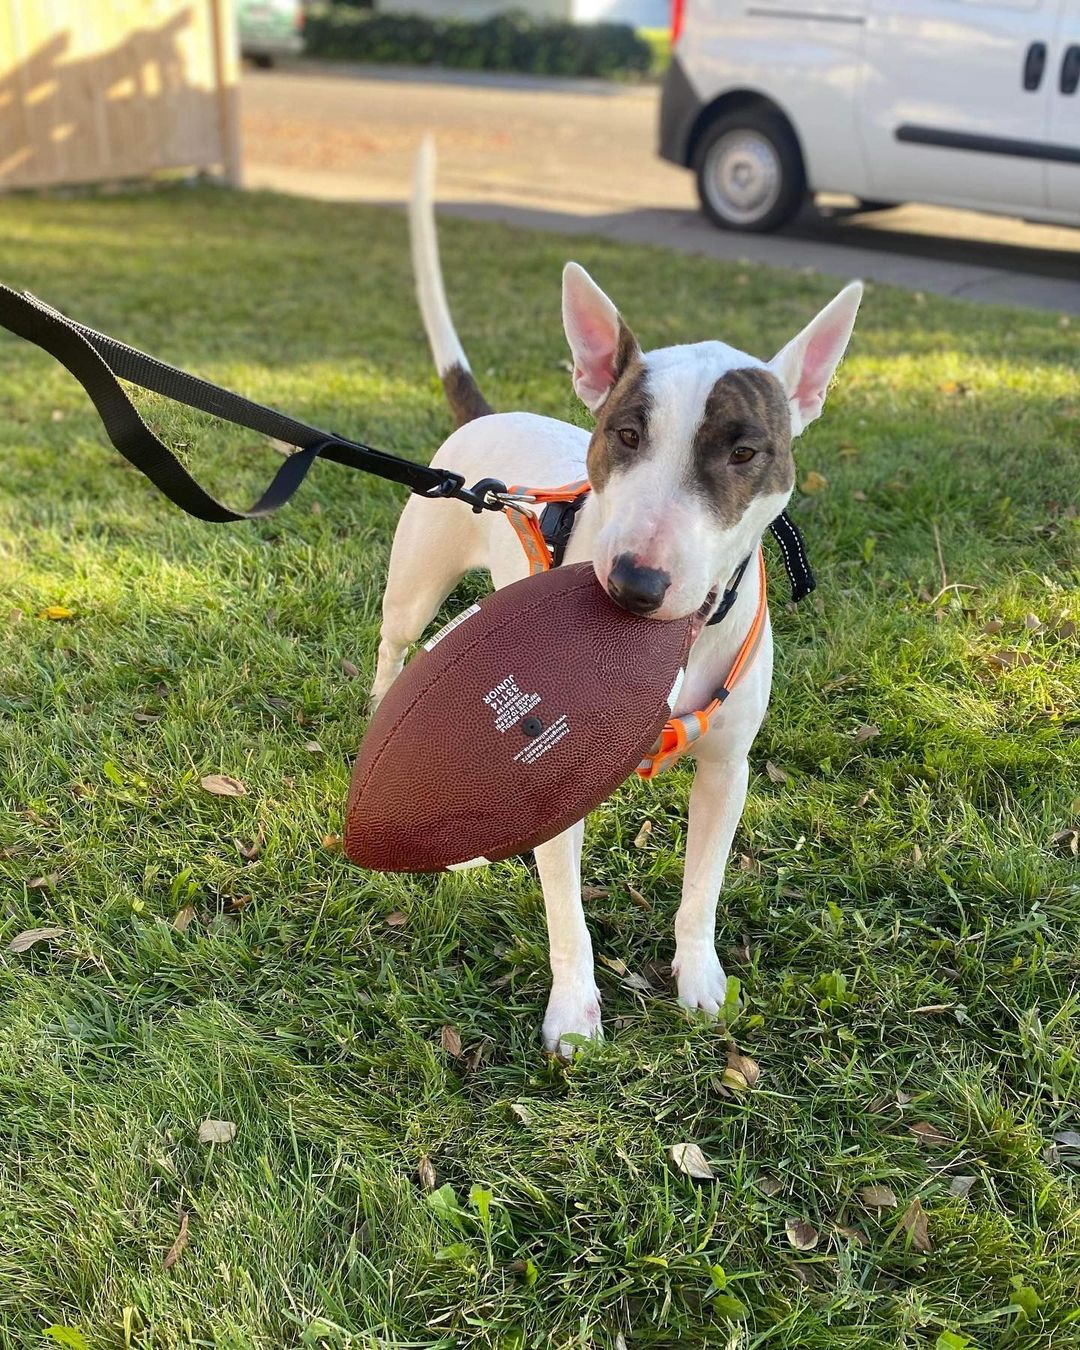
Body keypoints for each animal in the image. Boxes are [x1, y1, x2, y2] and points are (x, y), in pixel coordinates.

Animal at [372, 142, 858, 1058]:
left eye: (745, 451)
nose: (634, 586)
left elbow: (703, 886)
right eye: (625, 435)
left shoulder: (727, 768)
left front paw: (700, 980)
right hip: (416, 585)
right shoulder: (554, 780)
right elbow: (566, 914)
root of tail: (490, 420)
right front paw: (573, 1013)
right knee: (395, 651)